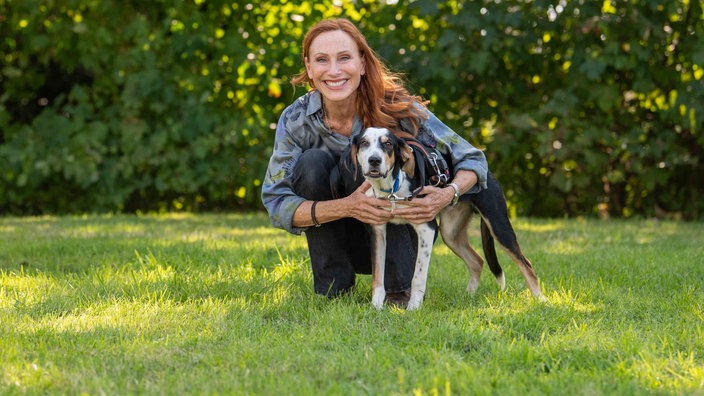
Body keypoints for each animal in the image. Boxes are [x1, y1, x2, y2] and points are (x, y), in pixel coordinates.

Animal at [352, 127, 544, 310]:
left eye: (388, 144)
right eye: (364, 143)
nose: (374, 160)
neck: (392, 190)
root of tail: (486, 172)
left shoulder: (427, 229)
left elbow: (418, 277)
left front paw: (413, 308)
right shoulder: (378, 232)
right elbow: (378, 278)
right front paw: (375, 308)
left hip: (498, 226)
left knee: (526, 264)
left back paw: (540, 300)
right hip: (451, 233)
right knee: (477, 261)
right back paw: (468, 297)